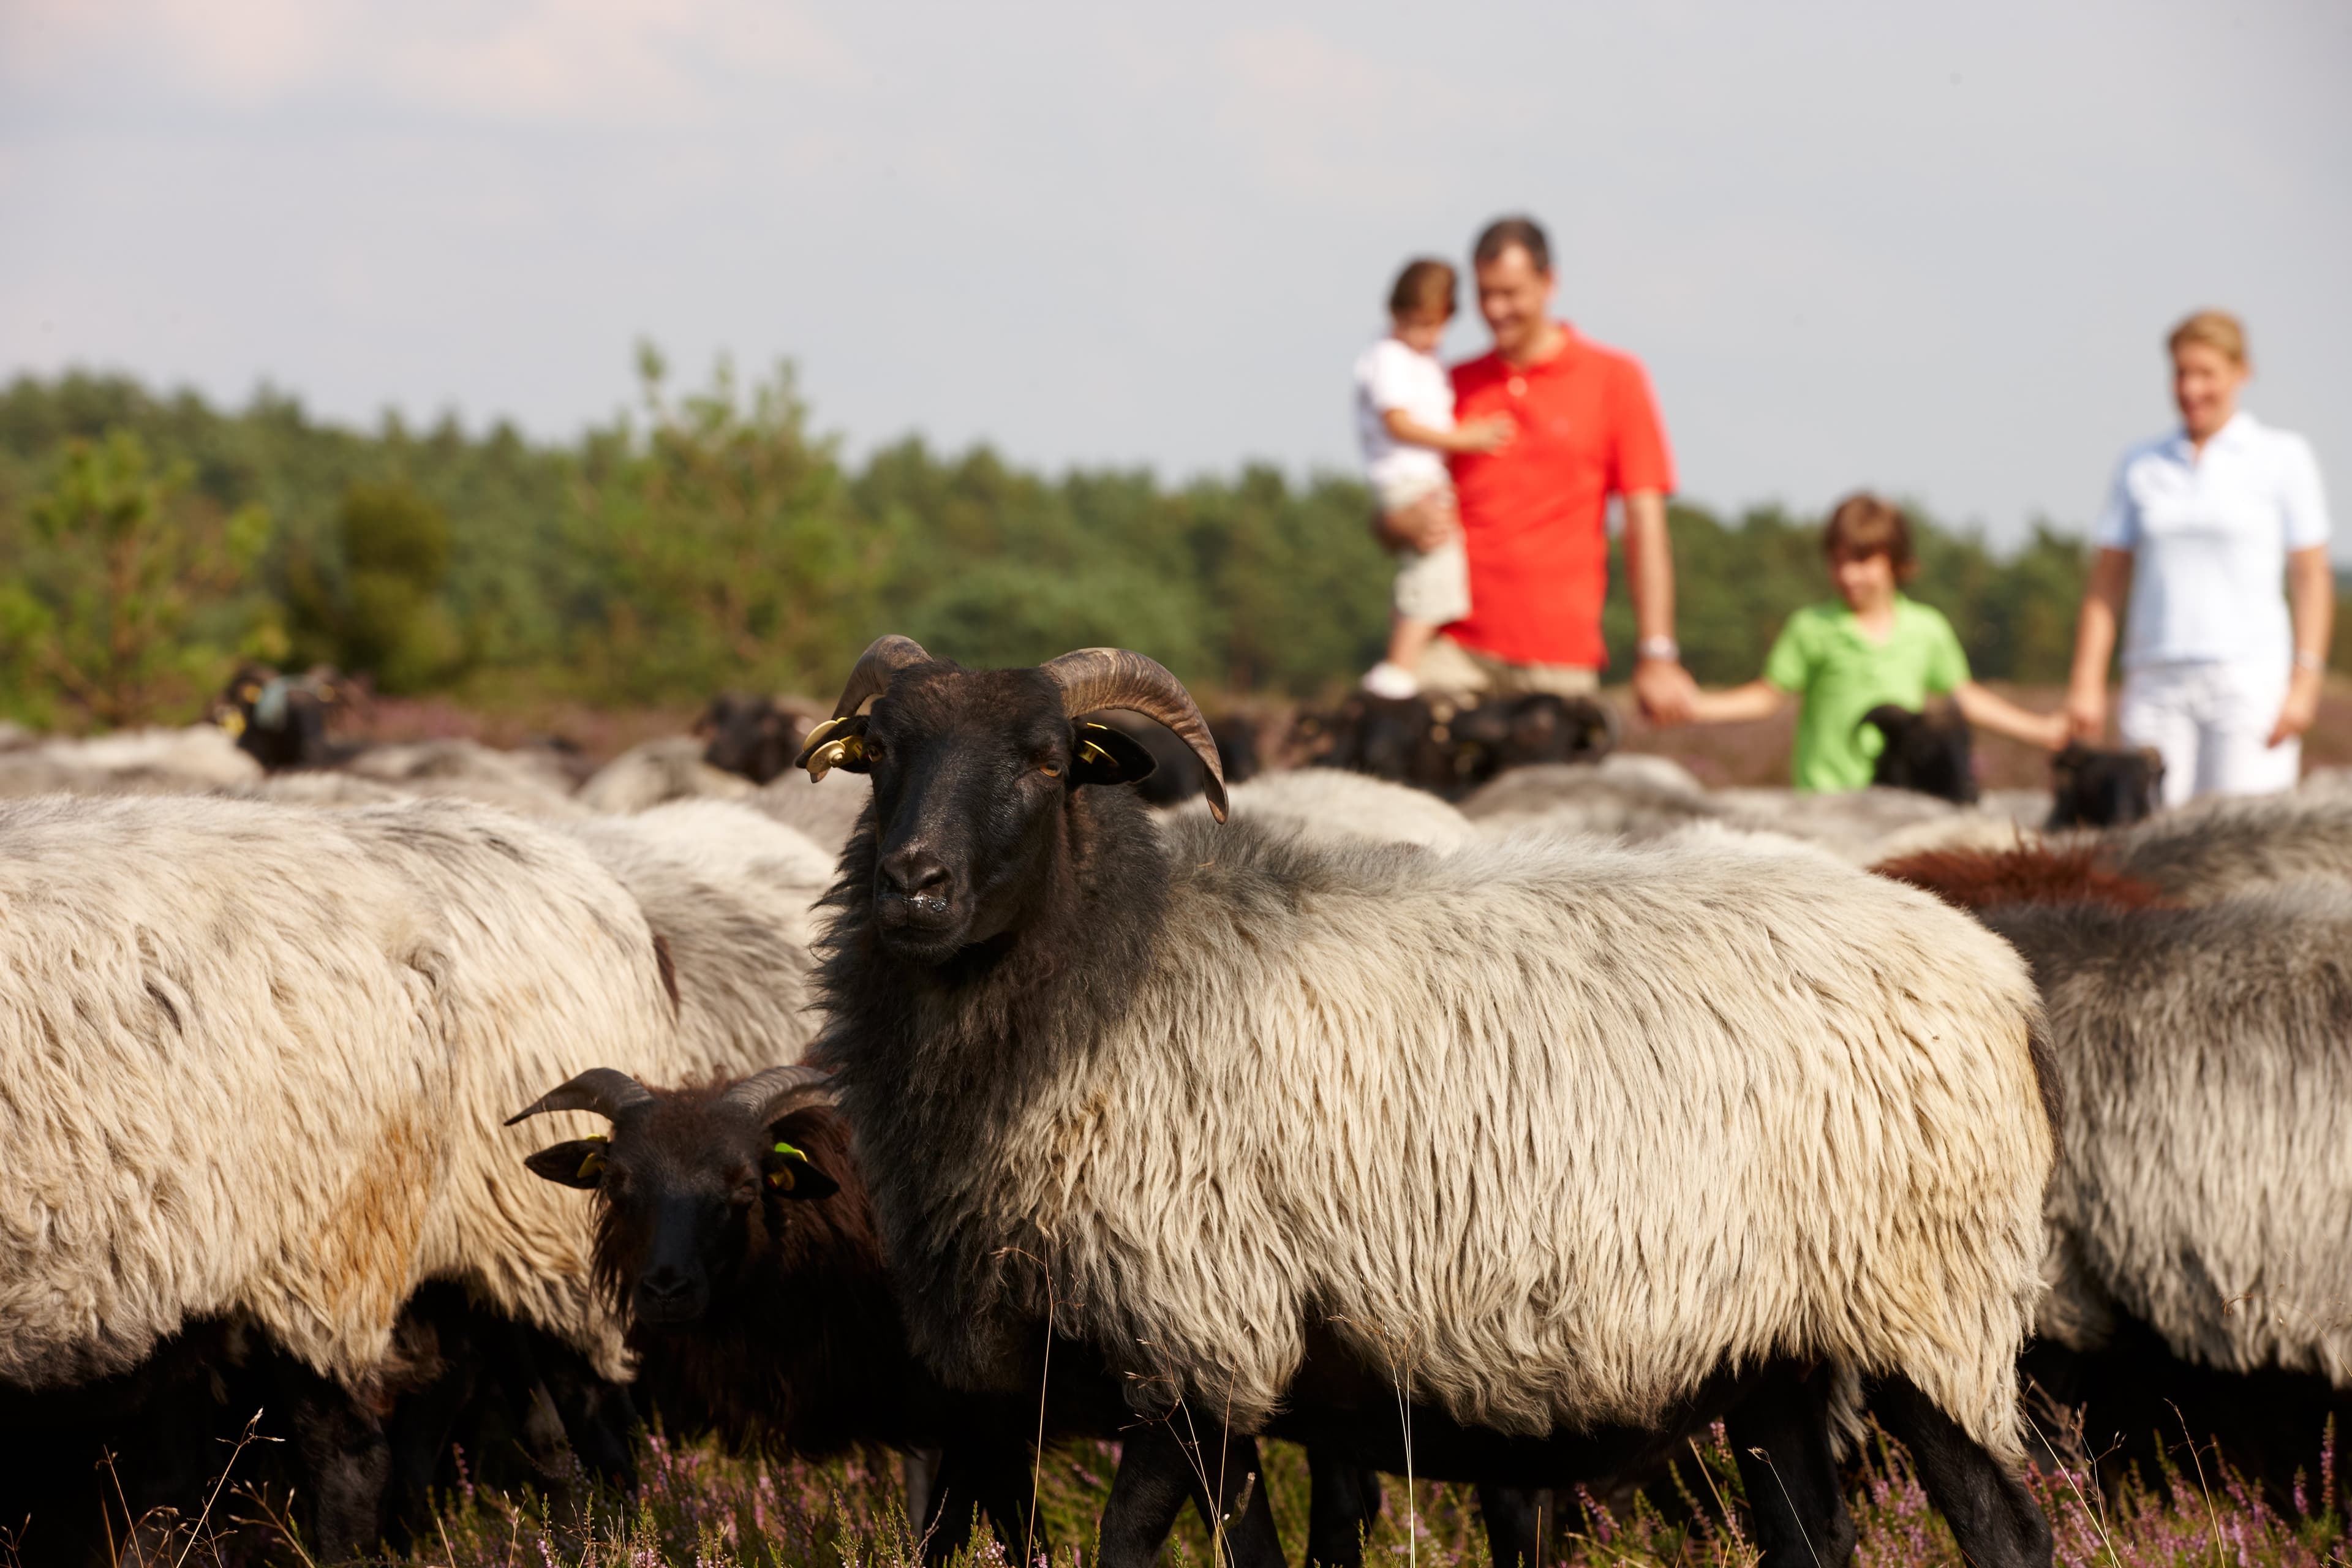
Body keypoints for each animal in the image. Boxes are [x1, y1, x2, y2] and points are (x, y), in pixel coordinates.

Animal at [790, 635, 2060, 1568]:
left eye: (1050, 759)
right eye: (879, 752)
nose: (914, 885)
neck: (1118, 966)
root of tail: (1998, 973)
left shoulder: (1196, 1330)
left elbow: (1129, 1545)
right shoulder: (1205, 1375)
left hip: (1926, 1307)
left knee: (2007, 1532)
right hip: (1781, 1349)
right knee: (1813, 1539)